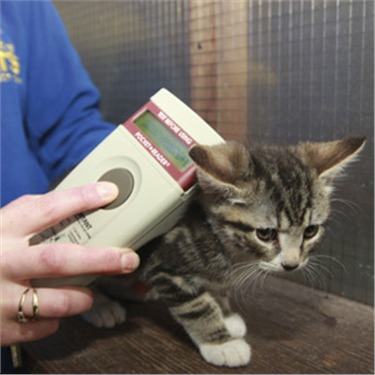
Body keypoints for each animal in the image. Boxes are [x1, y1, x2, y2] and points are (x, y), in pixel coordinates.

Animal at [84, 137, 364, 368]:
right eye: (265, 234)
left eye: (310, 231)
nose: (291, 264)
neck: (229, 248)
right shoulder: (163, 265)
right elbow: (196, 306)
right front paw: (221, 343)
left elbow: (216, 288)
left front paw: (225, 314)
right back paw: (100, 307)